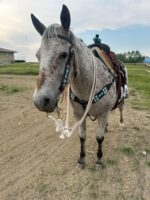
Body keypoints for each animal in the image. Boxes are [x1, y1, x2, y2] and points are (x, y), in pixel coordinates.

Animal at [31, 4, 123, 168]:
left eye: (63, 54)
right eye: (38, 55)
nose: (40, 101)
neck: (88, 86)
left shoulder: (103, 113)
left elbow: (99, 138)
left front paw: (99, 159)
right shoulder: (79, 115)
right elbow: (82, 137)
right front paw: (81, 159)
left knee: (121, 109)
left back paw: (121, 124)